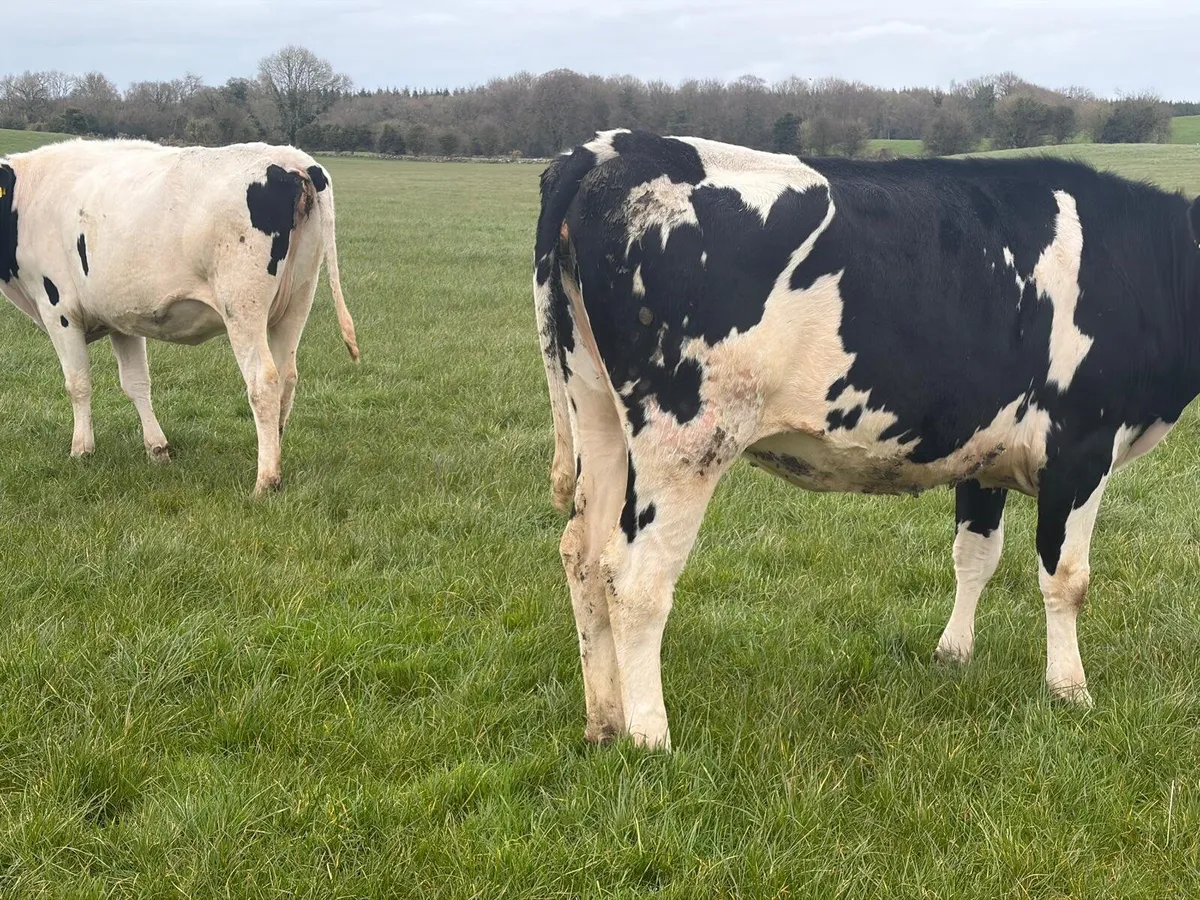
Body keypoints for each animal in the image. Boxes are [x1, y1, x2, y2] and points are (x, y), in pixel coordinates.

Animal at [0, 139, 359, 495]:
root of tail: (291, 158)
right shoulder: (122, 318)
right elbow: (136, 383)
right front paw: (157, 449)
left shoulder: (58, 310)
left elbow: (78, 383)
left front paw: (82, 450)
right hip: (298, 299)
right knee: (287, 377)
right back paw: (276, 458)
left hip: (243, 305)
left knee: (263, 381)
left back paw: (266, 479)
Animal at [534, 129, 1200, 750]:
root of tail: (614, 147)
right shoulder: (1082, 449)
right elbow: (1066, 578)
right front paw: (1069, 690)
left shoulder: (984, 453)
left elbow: (975, 557)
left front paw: (953, 655)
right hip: (685, 438)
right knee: (635, 579)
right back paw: (650, 737)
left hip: (596, 408)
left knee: (583, 556)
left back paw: (605, 723)